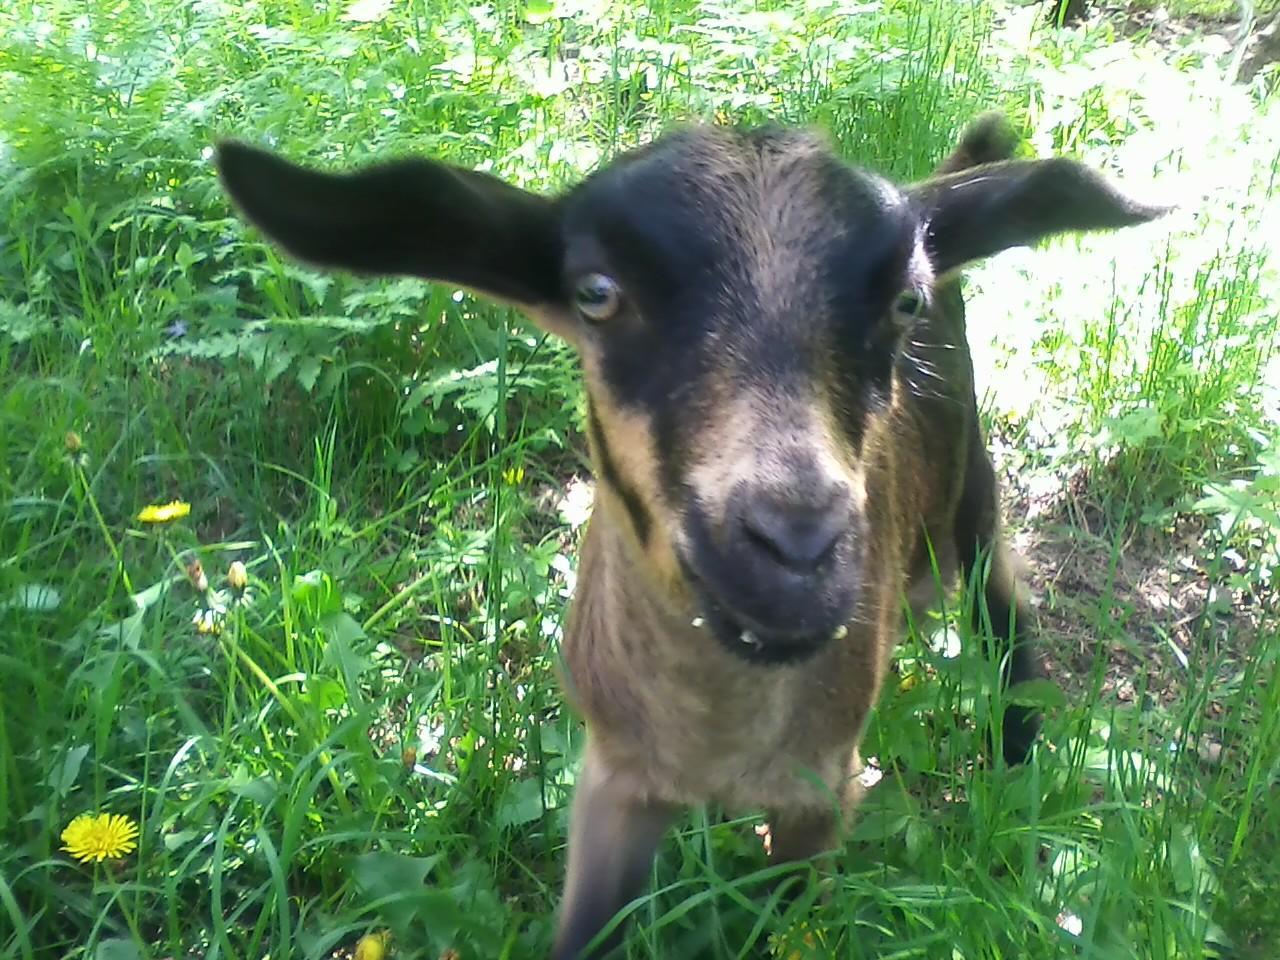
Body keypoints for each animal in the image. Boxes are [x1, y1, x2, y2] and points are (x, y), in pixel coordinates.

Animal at [215, 113, 1166, 958]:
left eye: (900, 301)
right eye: (596, 295)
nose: (795, 551)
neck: (717, 731)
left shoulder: (819, 791)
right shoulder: (613, 780)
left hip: (971, 492)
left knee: (1005, 608)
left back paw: (1017, 764)